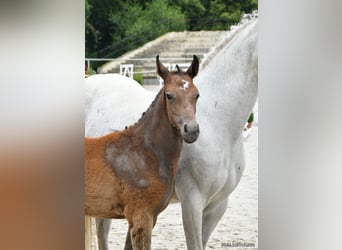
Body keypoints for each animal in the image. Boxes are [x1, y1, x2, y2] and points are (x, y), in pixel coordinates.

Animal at [85, 55, 200, 249]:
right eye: (169, 95)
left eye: (196, 95)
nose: (191, 130)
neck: (145, 153)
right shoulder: (141, 217)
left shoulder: (147, 218)